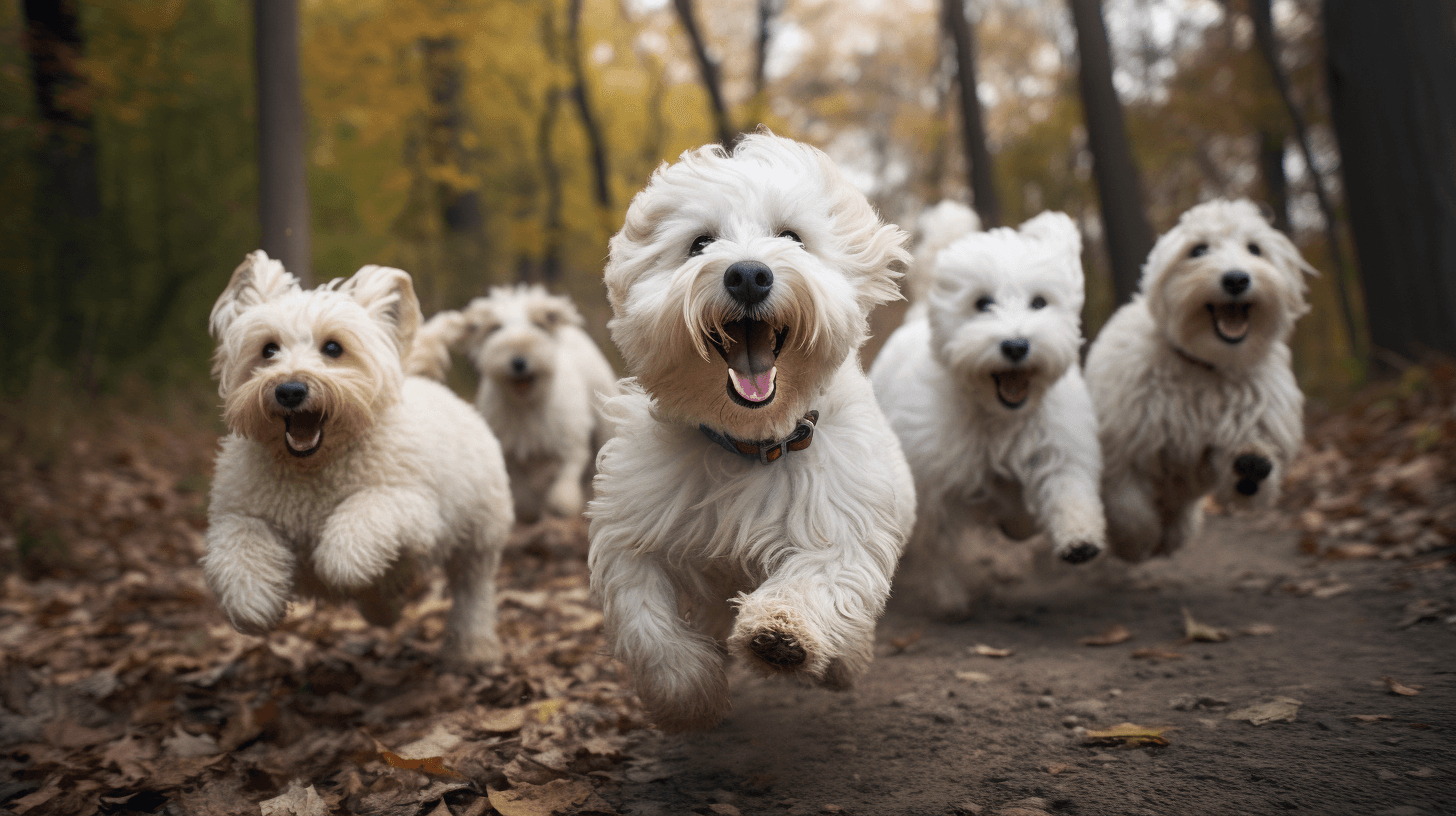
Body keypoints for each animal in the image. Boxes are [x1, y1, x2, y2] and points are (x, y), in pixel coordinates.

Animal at [202, 250, 515, 664]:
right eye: (268, 349)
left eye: (333, 348)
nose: (290, 389)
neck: (312, 467)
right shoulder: (240, 512)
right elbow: (240, 545)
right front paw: (252, 602)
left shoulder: (410, 505)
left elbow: (357, 527)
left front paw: (343, 562)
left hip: (480, 532)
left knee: (472, 589)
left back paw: (470, 647)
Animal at [407, 287, 617, 521]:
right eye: (494, 328)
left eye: (538, 325)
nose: (519, 361)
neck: (526, 404)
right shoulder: (508, 451)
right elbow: (521, 490)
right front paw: (529, 510)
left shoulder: (570, 441)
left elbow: (565, 479)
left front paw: (562, 505)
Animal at [585, 135, 914, 734]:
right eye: (699, 243)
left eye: (792, 237)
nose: (747, 275)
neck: (750, 442)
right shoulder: (633, 529)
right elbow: (644, 619)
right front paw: (686, 696)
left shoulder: (839, 519)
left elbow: (819, 577)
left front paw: (780, 636)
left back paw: (844, 661)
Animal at [873, 209, 1100, 617]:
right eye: (982, 304)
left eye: (1039, 302)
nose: (1016, 345)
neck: (999, 417)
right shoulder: (936, 482)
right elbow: (939, 545)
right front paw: (948, 597)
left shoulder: (1058, 445)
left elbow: (1067, 490)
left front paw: (1079, 539)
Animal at [1089, 201, 1316, 565]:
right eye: (1197, 250)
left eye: (1255, 249)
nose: (1237, 278)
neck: (1205, 364)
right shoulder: (1123, 448)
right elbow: (1130, 508)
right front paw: (1135, 545)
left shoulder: (1250, 416)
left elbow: (1245, 455)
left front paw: (1251, 466)